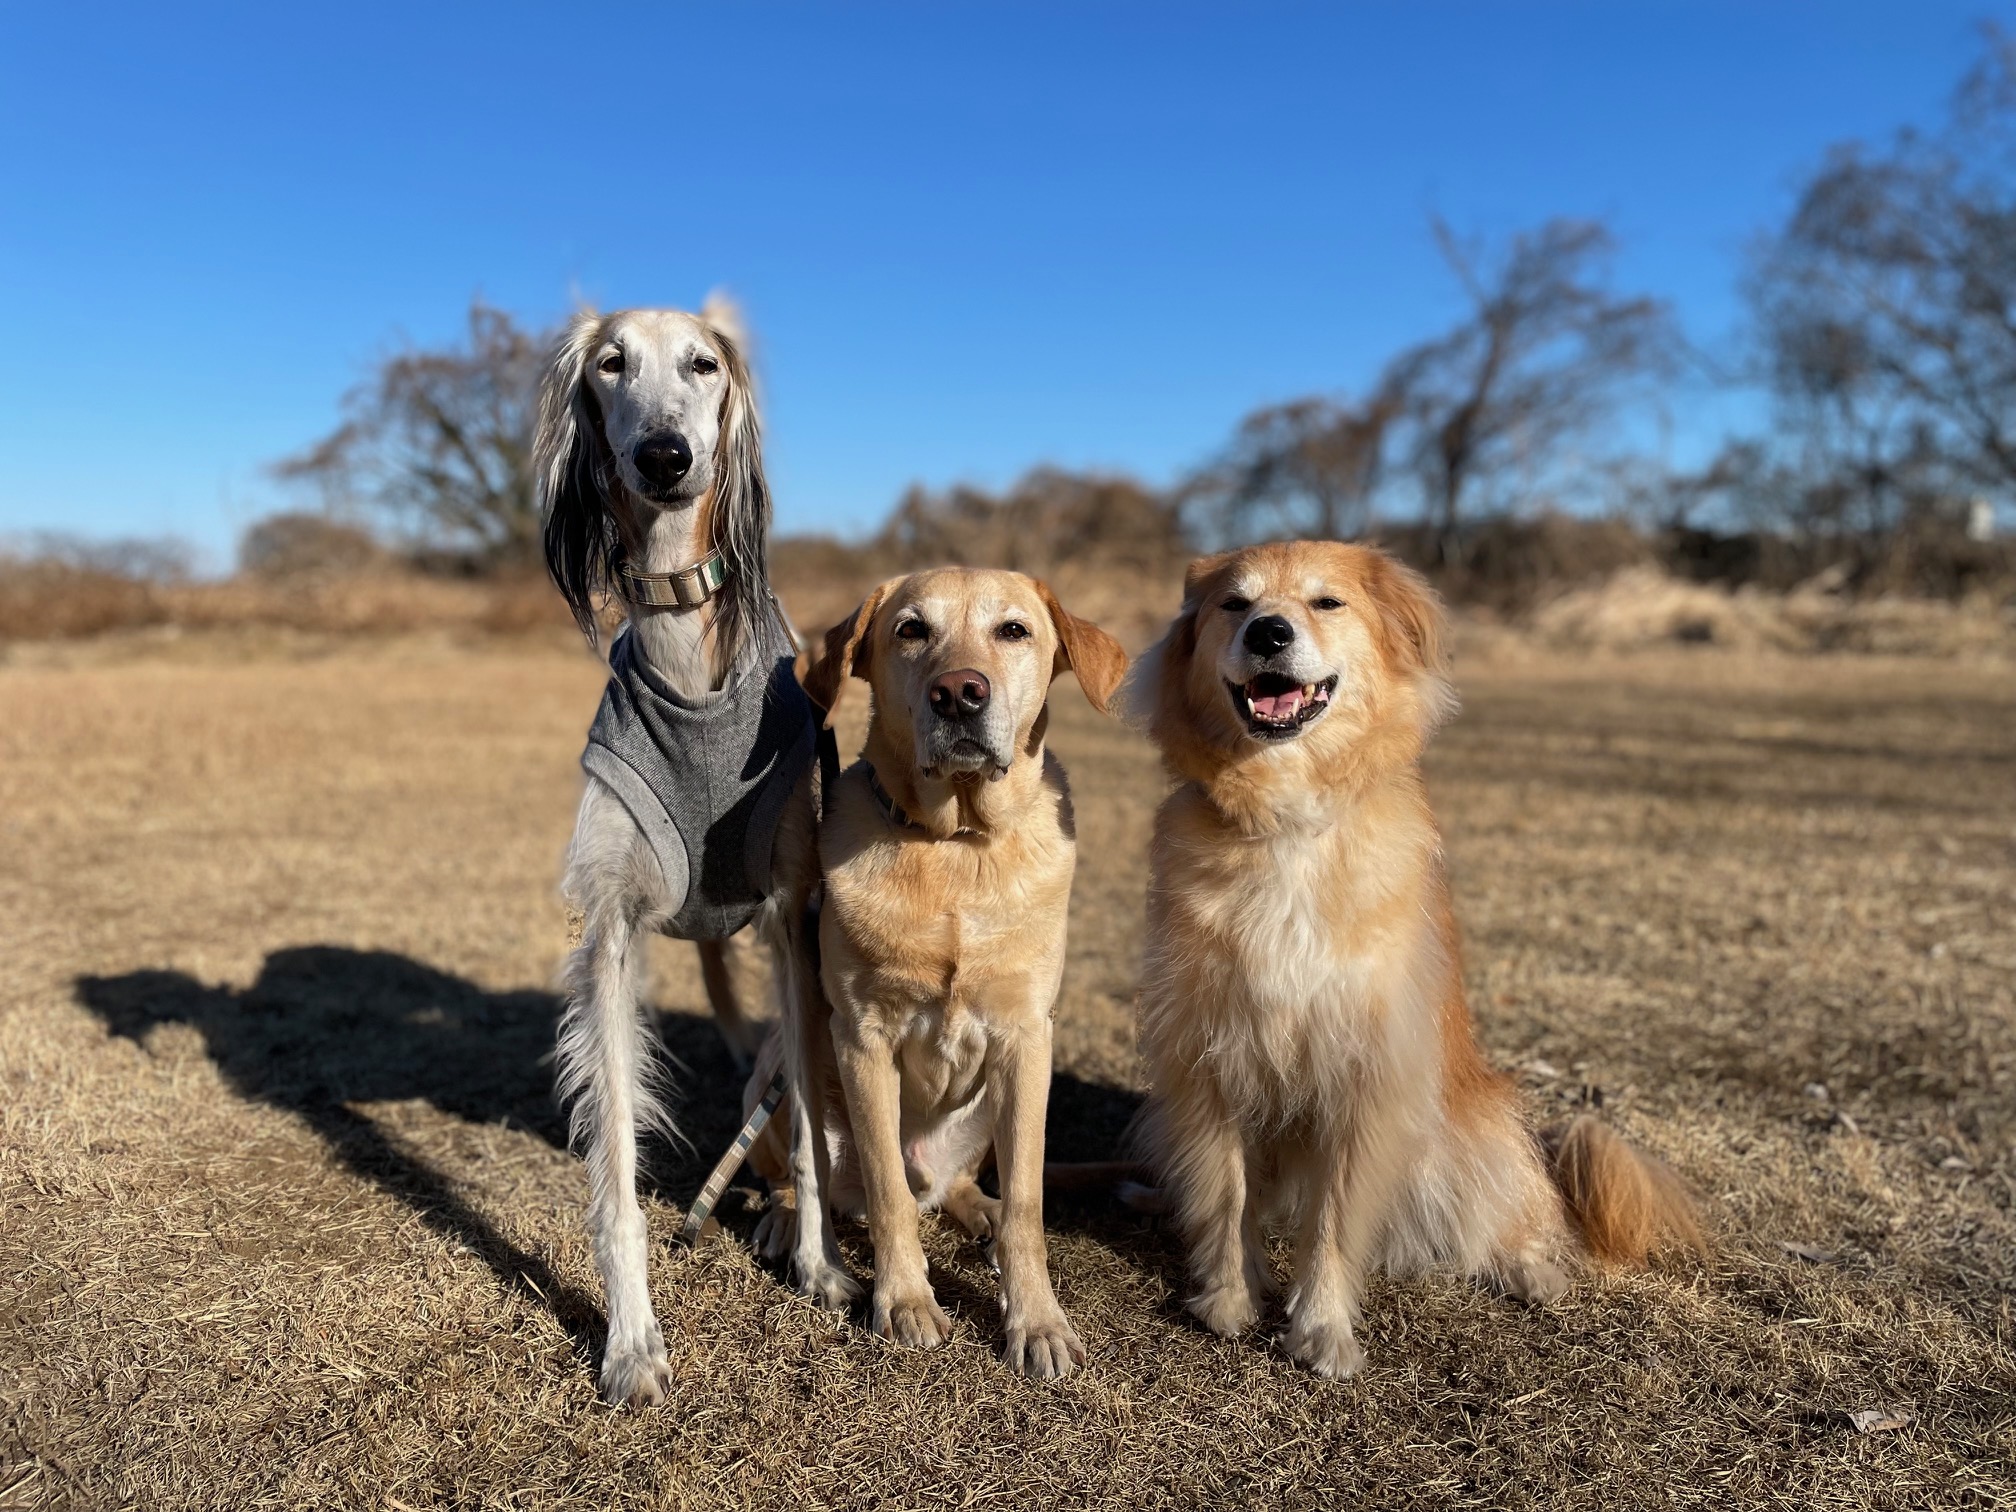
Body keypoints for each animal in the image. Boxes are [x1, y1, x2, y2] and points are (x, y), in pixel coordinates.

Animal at [536, 302, 850, 1419]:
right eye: (611, 364)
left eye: (704, 363)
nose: (666, 456)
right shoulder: (611, 932)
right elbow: (616, 1158)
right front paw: (630, 1341)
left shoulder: (796, 919)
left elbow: (808, 1122)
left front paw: (819, 1266)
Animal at [762, 572, 1128, 1387]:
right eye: (910, 630)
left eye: (1013, 631)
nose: (959, 693)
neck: (958, 844)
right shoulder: (862, 1038)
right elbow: (887, 1194)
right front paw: (904, 1301)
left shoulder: (1027, 1040)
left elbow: (1027, 1202)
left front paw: (1037, 1321)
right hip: (784, 1073)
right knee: (821, 1174)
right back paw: (783, 1214)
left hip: (988, 1111)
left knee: (958, 1188)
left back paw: (976, 1210)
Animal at [1128, 540, 1693, 1378]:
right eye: (1234, 604)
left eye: (1326, 603)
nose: (1268, 633)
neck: (1290, 822)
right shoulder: (1210, 1056)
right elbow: (1225, 1195)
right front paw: (1228, 1300)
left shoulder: (1370, 1073)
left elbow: (1335, 1222)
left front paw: (1322, 1329)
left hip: (1473, 1135)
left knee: (1513, 1214)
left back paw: (1532, 1268)